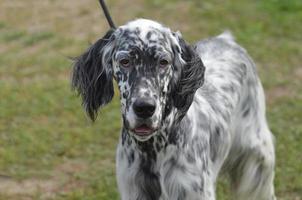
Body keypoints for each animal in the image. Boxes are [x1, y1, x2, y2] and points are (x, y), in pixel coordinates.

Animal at [71, 18, 276, 199]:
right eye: (125, 61)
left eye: (163, 62)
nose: (144, 108)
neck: (152, 151)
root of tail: (226, 40)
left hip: (259, 159)